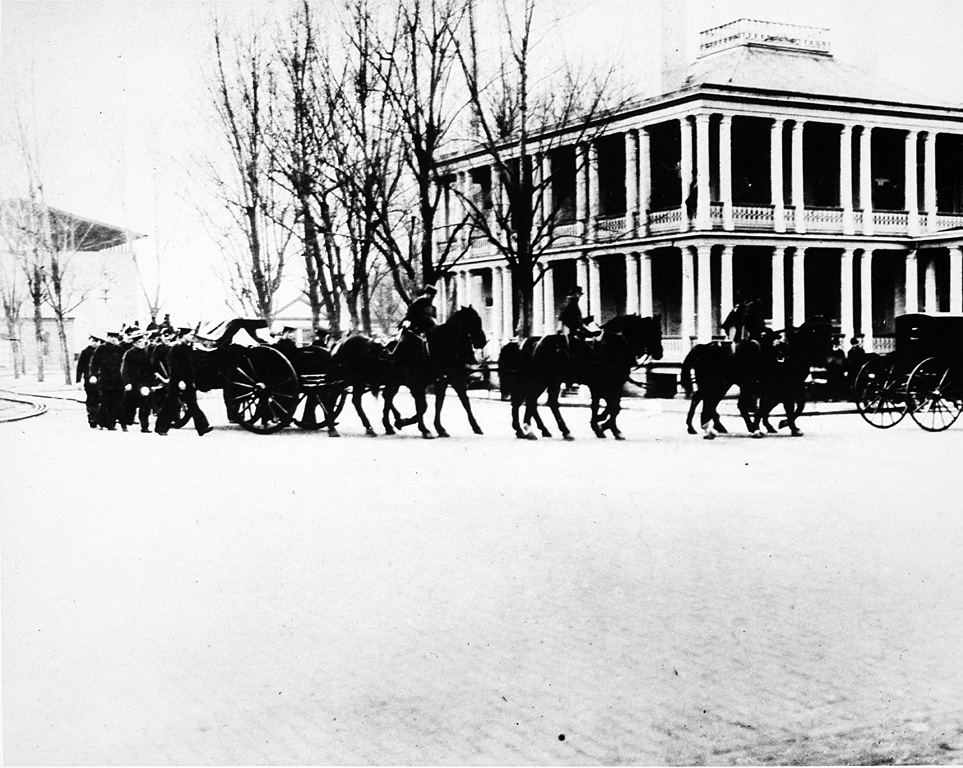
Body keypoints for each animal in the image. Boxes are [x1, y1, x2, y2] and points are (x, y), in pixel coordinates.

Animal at [334, 306, 490, 438]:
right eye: (473, 322)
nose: (482, 341)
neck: (430, 348)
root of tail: (344, 342)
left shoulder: (446, 381)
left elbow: (453, 403)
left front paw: (443, 428)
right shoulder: (416, 384)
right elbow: (422, 406)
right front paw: (422, 428)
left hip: (383, 382)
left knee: (384, 397)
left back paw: (386, 425)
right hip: (358, 381)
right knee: (356, 400)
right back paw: (365, 427)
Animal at [498, 314, 664, 438]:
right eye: (655, 332)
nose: (659, 353)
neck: (615, 345)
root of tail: (533, 343)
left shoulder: (603, 385)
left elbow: (607, 406)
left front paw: (601, 425)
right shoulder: (607, 384)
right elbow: (612, 407)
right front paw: (606, 427)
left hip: (543, 380)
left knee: (529, 401)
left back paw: (530, 429)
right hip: (548, 380)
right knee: (543, 402)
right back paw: (557, 430)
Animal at [684, 318, 836, 438]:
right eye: (825, 335)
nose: (830, 359)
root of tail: (704, 347)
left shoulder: (788, 387)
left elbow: (790, 406)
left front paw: (783, 425)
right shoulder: (784, 388)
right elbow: (786, 407)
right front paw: (786, 425)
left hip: (721, 385)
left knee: (706, 401)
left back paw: (705, 427)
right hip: (720, 384)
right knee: (711, 402)